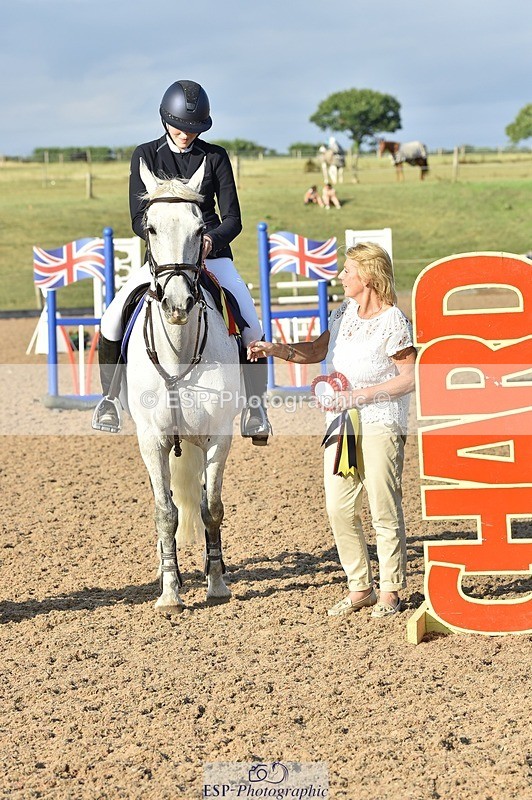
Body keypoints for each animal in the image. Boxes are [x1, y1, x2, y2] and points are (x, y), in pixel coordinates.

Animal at [125, 158, 242, 612]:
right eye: (151, 228)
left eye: (199, 228)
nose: (177, 305)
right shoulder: (152, 440)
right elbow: (165, 512)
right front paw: (170, 592)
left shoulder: (218, 437)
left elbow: (211, 508)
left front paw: (216, 584)